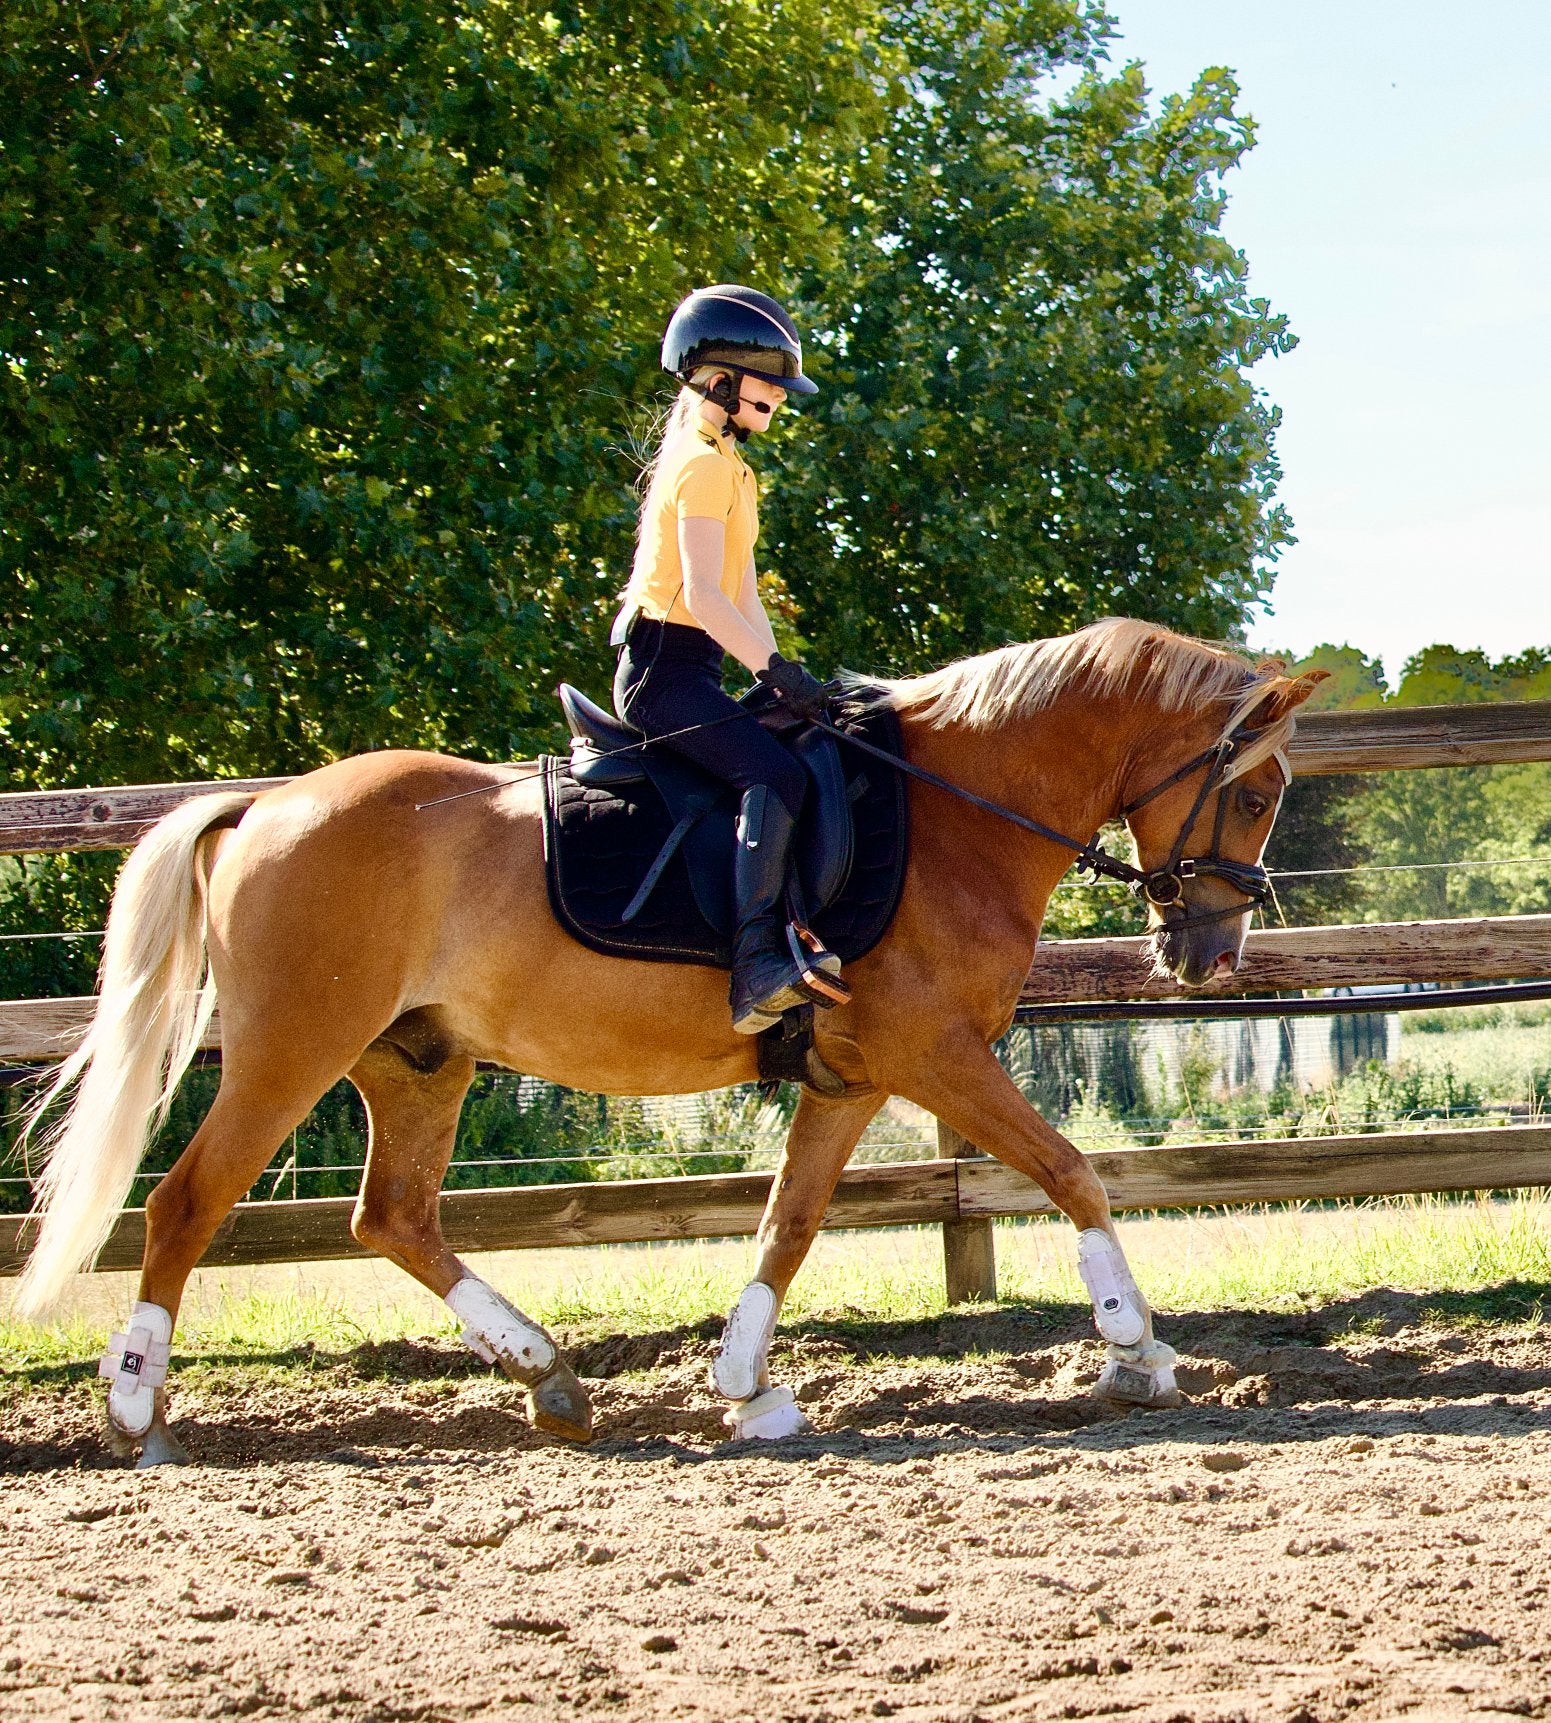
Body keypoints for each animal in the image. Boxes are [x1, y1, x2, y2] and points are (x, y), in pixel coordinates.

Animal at [13, 618, 1323, 1464]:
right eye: (1258, 795)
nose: (1210, 953)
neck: (953, 808)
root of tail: (263, 804)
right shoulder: (935, 1053)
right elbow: (1069, 1169)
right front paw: (1136, 1347)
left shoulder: (852, 1074)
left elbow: (789, 1221)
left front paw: (746, 1388)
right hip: (294, 1046)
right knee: (186, 1202)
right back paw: (136, 1410)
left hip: (418, 1059)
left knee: (391, 1218)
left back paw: (547, 1375)